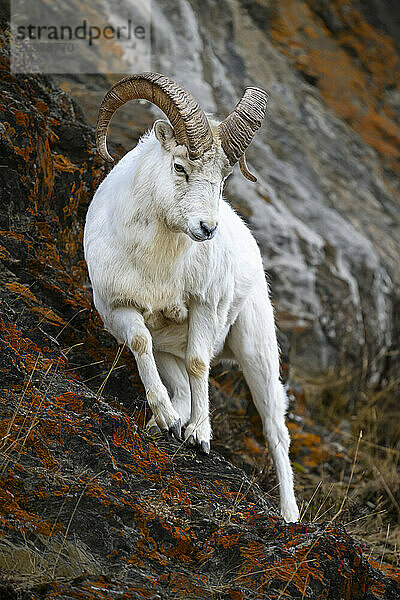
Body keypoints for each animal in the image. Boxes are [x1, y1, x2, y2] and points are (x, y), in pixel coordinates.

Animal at [84, 72, 298, 524]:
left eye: (223, 178)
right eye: (180, 166)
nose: (206, 228)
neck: (158, 263)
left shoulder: (204, 307)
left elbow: (201, 364)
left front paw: (199, 437)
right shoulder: (121, 310)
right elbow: (140, 344)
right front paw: (165, 420)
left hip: (256, 349)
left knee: (275, 430)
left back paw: (290, 516)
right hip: (172, 353)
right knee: (180, 388)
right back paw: (163, 423)